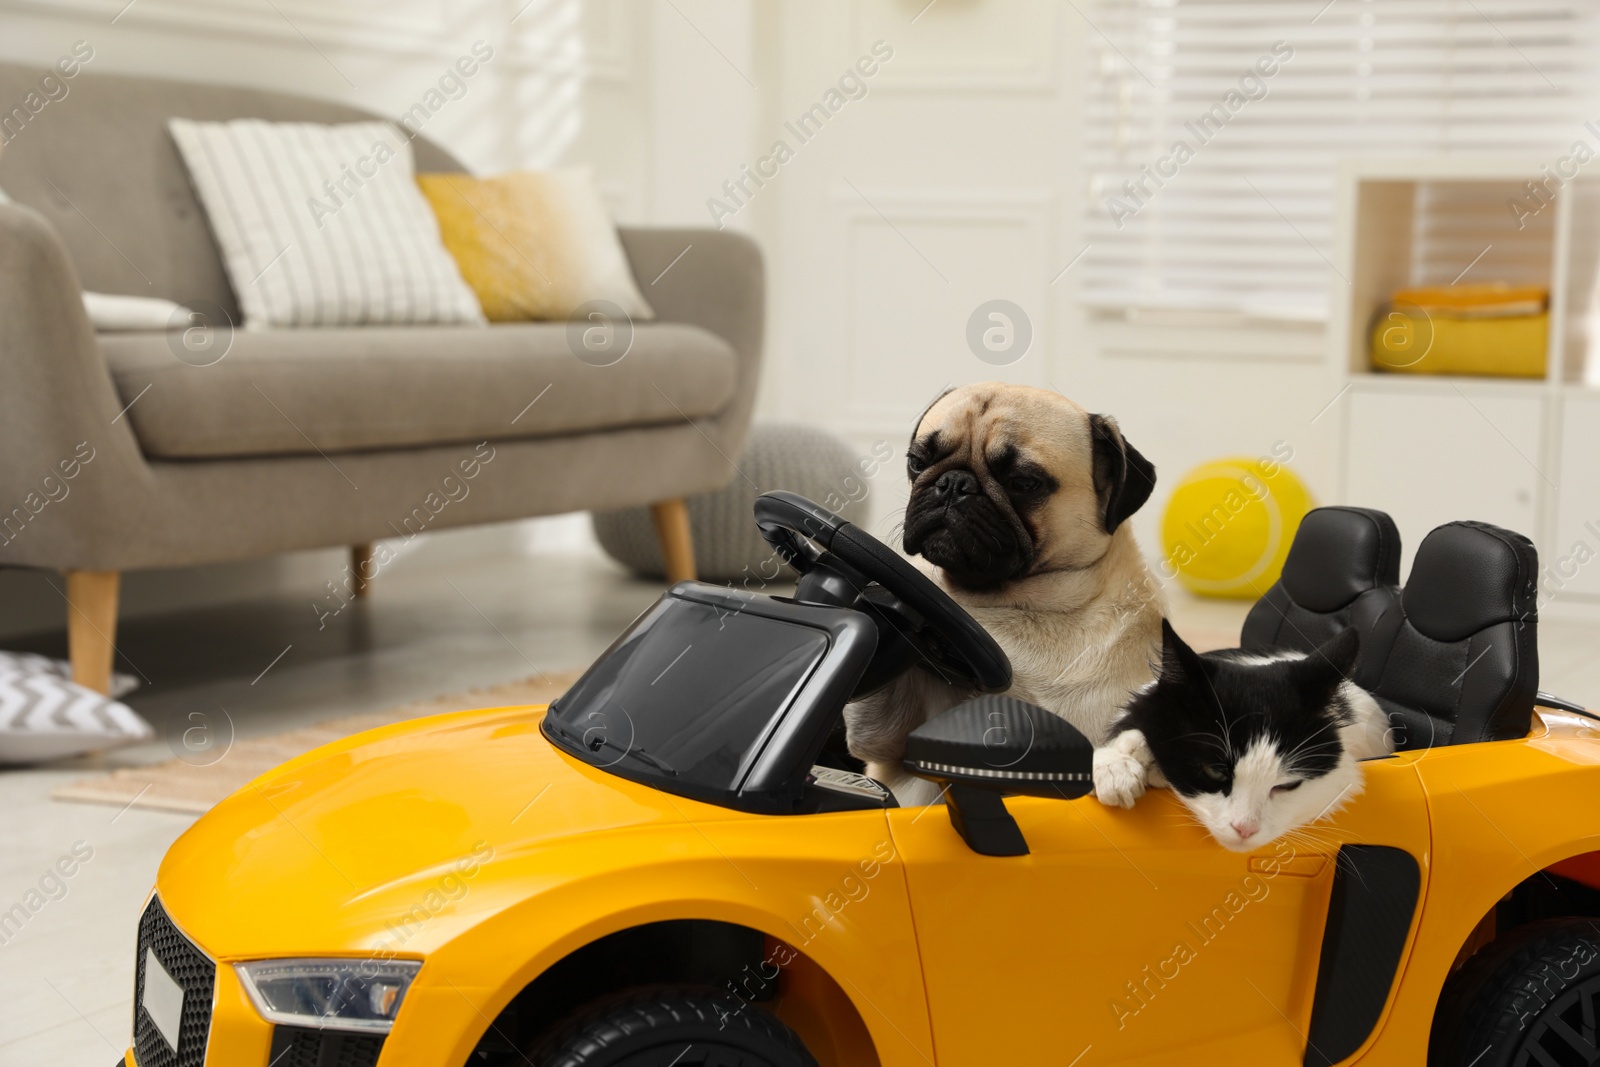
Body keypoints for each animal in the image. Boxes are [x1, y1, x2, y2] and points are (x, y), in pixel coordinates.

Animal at [851, 379, 1164, 806]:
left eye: (1024, 483)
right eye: (917, 461)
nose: (953, 483)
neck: (1018, 606)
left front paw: (1114, 764)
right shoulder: (886, 742)